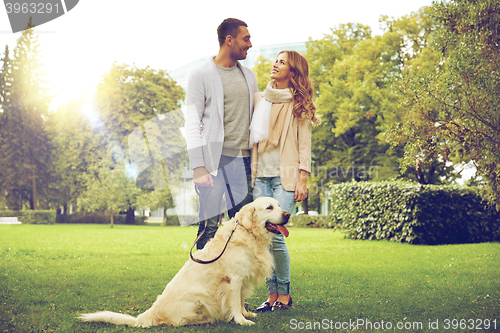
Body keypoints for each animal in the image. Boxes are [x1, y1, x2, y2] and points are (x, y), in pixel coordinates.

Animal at [77, 196, 290, 326]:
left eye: (279, 205)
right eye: (269, 207)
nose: (288, 214)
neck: (249, 233)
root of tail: (149, 313)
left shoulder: (243, 279)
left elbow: (241, 300)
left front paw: (246, 314)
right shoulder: (235, 279)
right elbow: (235, 303)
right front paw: (241, 320)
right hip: (197, 299)